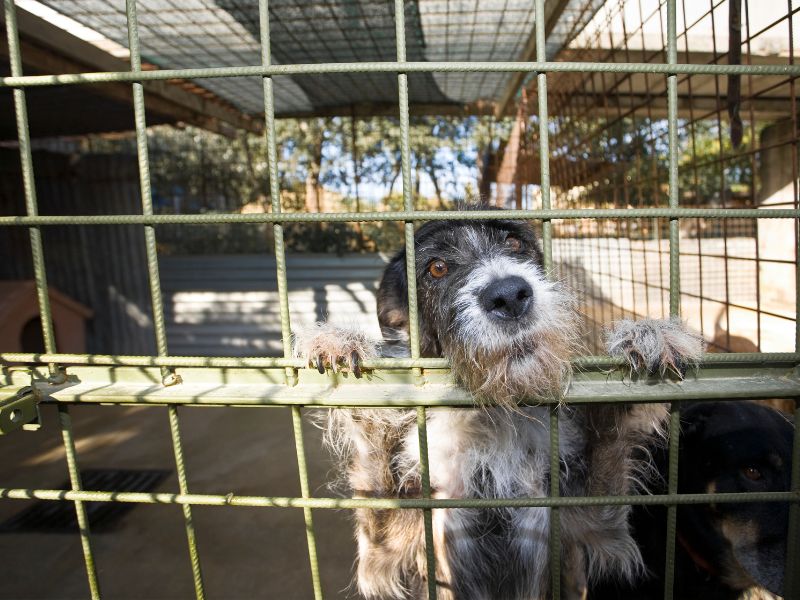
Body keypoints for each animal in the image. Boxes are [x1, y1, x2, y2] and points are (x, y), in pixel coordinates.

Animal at [296, 212, 704, 600]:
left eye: (514, 242)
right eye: (437, 268)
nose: (508, 295)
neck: (491, 417)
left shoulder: (592, 519)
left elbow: (612, 437)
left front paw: (650, 336)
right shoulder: (388, 546)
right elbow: (373, 468)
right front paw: (339, 344)